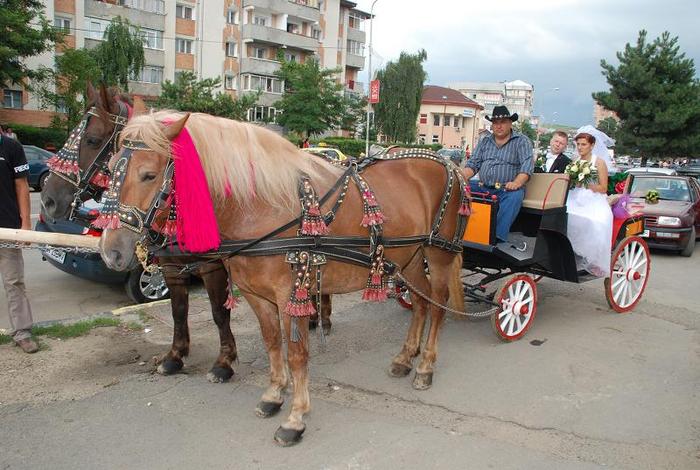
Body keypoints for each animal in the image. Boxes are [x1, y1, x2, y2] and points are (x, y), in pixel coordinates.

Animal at [41, 84, 238, 382]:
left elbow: (218, 312)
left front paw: (224, 362)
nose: (48, 199)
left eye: (92, 140)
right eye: (112, 166)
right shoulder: (170, 267)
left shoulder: (212, 267)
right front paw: (175, 356)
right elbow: (178, 310)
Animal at [98, 104, 470, 446]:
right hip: (408, 260)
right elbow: (272, 342)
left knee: (437, 305)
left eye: (148, 174)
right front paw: (274, 395)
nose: (110, 251)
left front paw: (295, 418)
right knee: (420, 303)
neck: (262, 207)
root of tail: (450, 165)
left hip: (437, 255)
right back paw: (405, 357)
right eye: (109, 167)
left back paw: (425, 366)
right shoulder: (257, 295)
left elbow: (296, 353)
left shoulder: (293, 293)